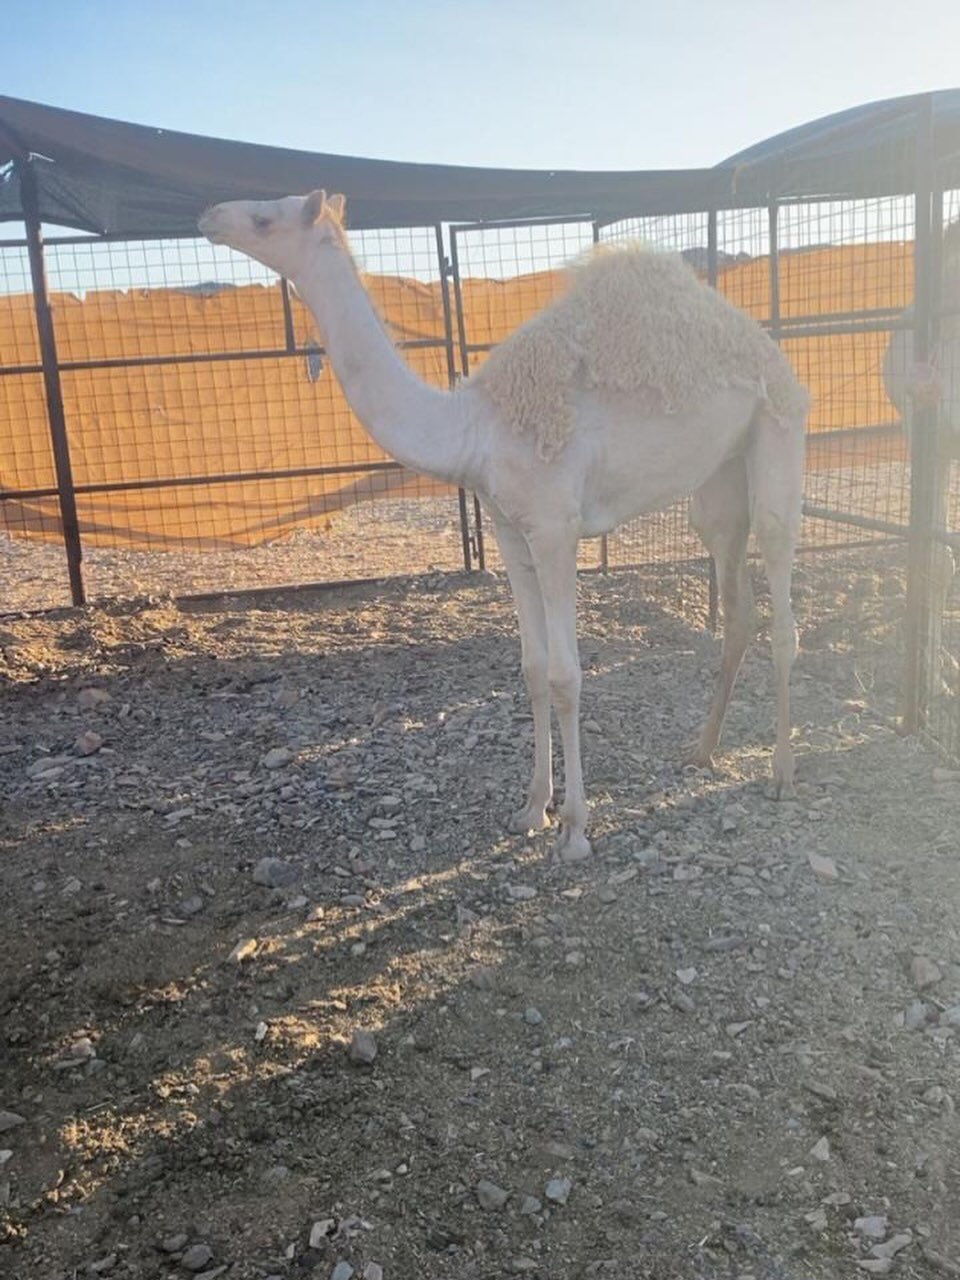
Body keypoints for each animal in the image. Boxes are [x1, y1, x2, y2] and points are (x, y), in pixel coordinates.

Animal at [199, 191, 808, 861]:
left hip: (777, 434)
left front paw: (575, 829)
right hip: (719, 479)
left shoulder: (555, 527)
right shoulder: (510, 532)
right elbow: (533, 669)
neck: (476, 428)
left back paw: (782, 773)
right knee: (737, 603)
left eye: (265, 217)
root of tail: (767, 347)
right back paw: (702, 751)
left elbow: (567, 675)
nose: (209, 217)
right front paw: (532, 808)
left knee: (781, 592)